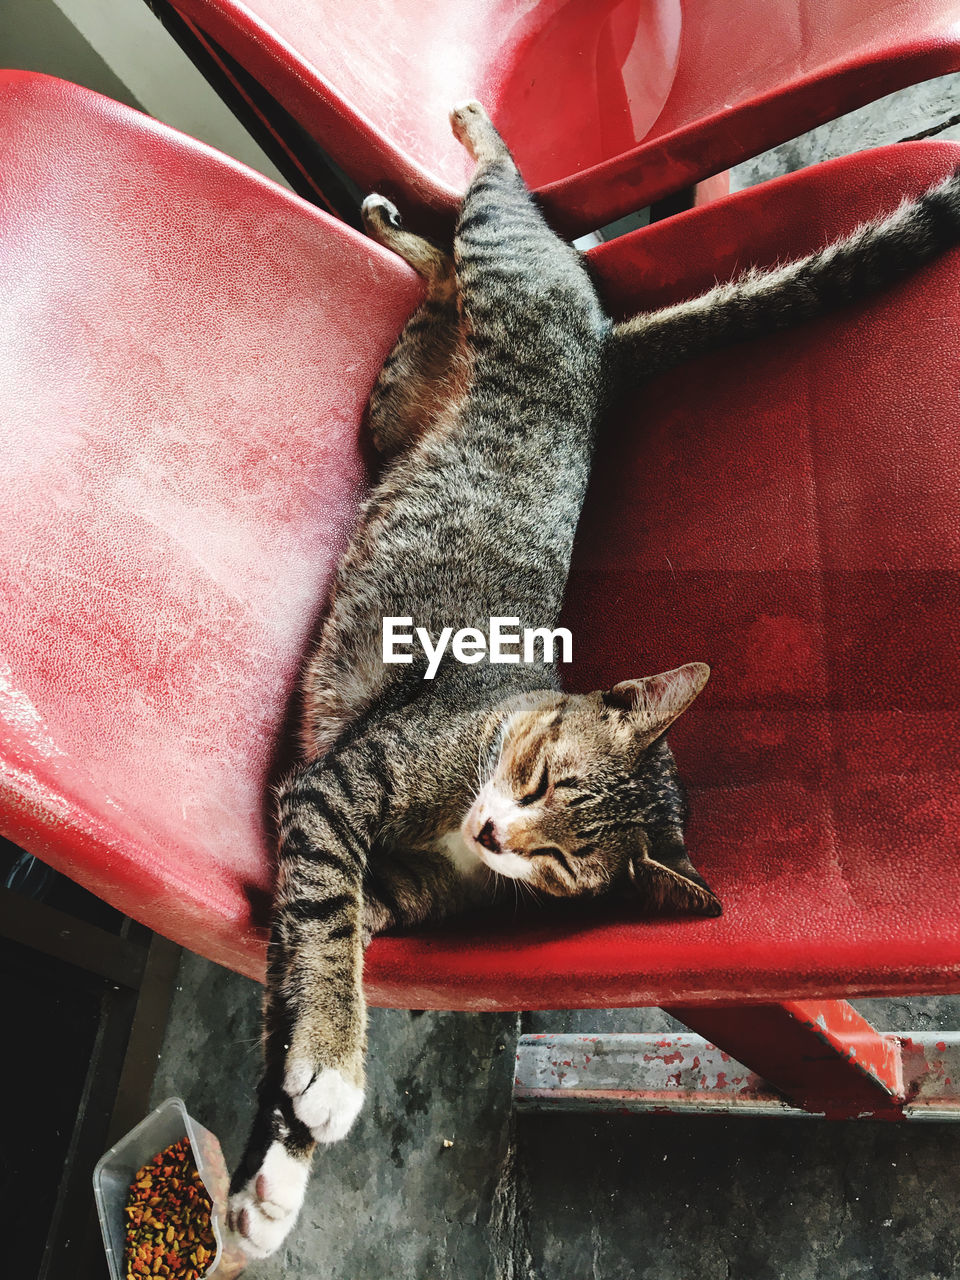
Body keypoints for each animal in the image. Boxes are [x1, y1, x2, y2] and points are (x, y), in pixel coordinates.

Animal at [227, 102, 960, 1259]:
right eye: (537, 777)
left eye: (565, 861)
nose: (495, 832)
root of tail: (601, 346)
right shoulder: (334, 788)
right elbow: (321, 919)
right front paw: (333, 1073)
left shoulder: (405, 895)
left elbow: (319, 941)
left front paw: (274, 1179)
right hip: (509, 267)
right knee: (500, 209)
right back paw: (471, 136)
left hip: (391, 403)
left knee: (441, 279)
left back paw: (402, 233)